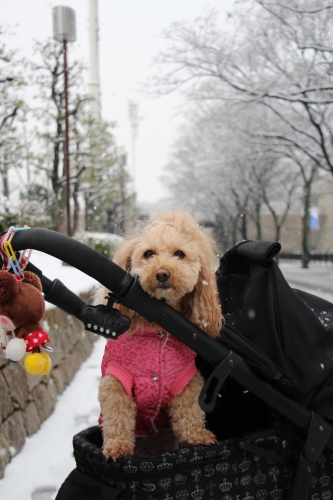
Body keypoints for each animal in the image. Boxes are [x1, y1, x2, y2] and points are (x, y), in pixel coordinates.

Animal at [98, 210, 223, 460]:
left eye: (180, 254)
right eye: (148, 254)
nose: (162, 273)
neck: (159, 326)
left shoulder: (187, 381)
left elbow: (190, 412)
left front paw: (198, 436)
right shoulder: (115, 381)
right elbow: (117, 415)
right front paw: (117, 447)